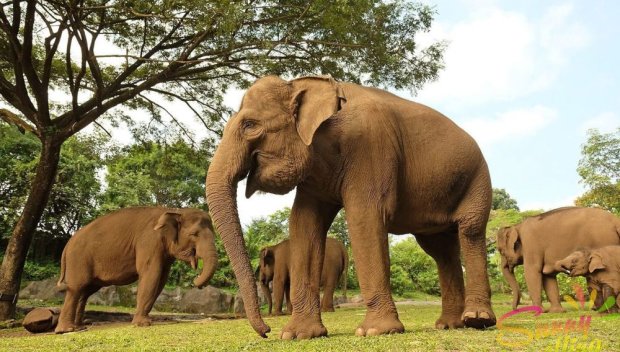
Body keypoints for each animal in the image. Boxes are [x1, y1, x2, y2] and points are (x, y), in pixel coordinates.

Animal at [54, 206, 218, 332]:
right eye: (194, 234)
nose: (195, 281)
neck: (175, 210)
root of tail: (67, 245)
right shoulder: (149, 241)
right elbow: (151, 274)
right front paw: (142, 324)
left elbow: (161, 280)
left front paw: (143, 321)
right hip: (78, 259)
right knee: (76, 288)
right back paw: (67, 330)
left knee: (85, 291)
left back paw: (80, 327)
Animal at [206, 75, 496, 340]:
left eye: (250, 125)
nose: (266, 331)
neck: (303, 84)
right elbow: (304, 224)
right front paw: (298, 335)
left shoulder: (369, 146)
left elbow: (364, 216)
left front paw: (375, 331)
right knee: (441, 251)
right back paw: (449, 325)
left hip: (479, 180)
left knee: (470, 232)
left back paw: (477, 319)